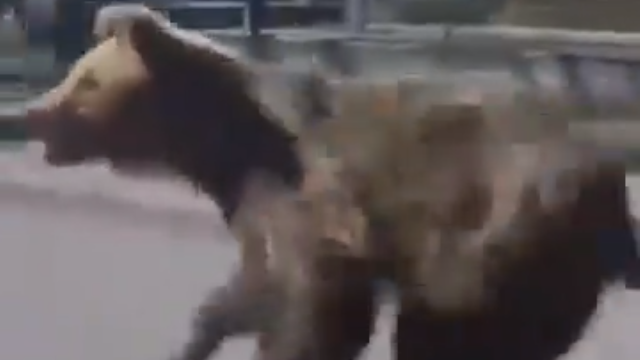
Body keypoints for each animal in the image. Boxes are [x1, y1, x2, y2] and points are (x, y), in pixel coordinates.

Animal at [22, 4, 636, 360]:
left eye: (86, 81)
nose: (32, 112)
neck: (220, 143)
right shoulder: (252, 199)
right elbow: (255, 286)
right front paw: (202, 333)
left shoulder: (306, 195)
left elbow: (313, 305)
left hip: (496, 232)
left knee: (449, 332)